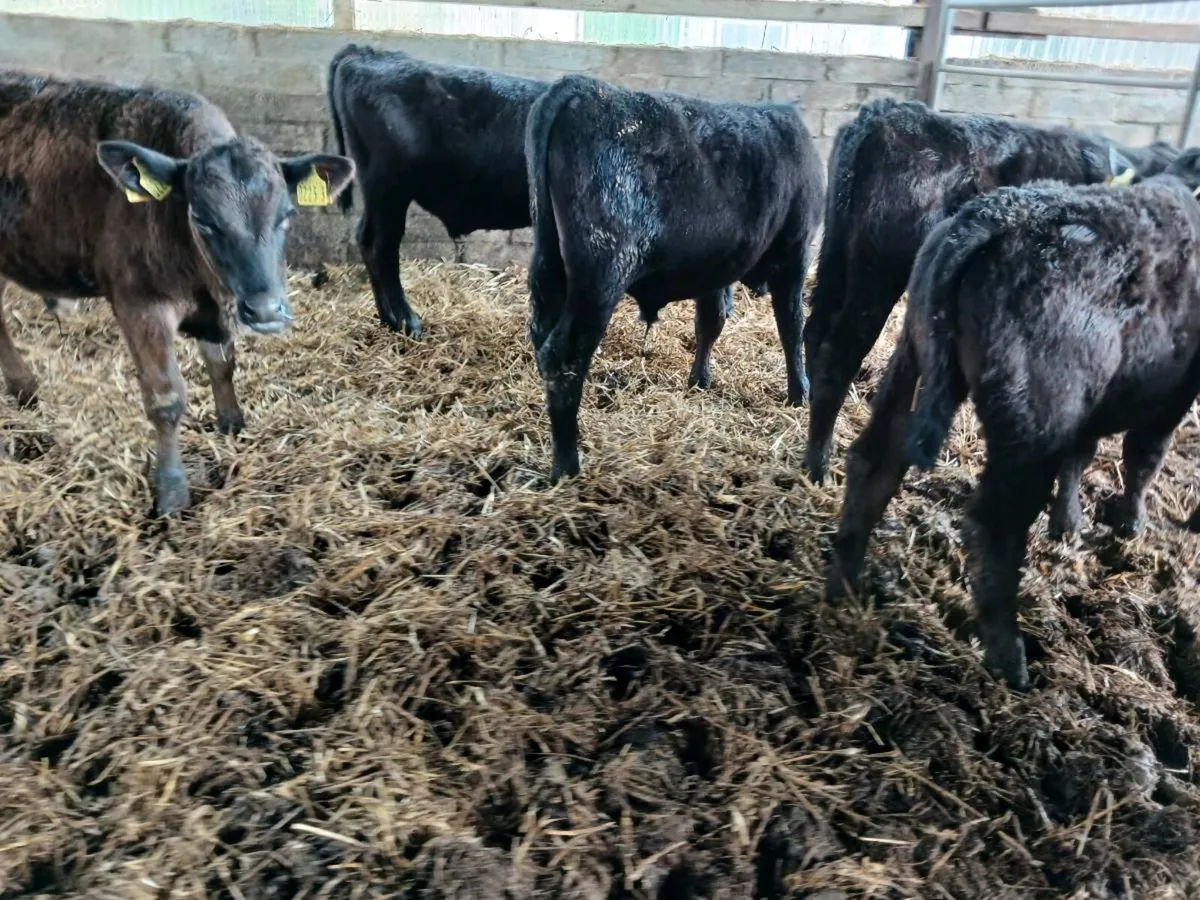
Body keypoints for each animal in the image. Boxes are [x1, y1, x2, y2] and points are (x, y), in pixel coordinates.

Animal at [0, 70, 354, 515]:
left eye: (287, 215)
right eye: (202, 219)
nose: (265, 310)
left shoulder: (215, 310)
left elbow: (223, 365)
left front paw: (231, 423)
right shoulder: (140, 304)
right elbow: (165, 397)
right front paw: (171, 491)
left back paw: (24, 390)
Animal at [525, 74, 824, 482]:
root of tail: (579, 87)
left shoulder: (716, 268)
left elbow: (710, 322)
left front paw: (699, 380)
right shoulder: (794, 253)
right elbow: (791, 327)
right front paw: (799, 392)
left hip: (549, 261)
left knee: (542, 336)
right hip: (601, 272)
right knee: (564, 354)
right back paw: (568, 466)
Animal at [803, 98, 1181, 485]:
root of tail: (886, 113)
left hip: (836, 253)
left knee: (816, 330)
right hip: (878, 270)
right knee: (839, 354)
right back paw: (819, 467)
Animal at [822, 167, 1200, 691]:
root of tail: (998, 214)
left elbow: (1081, 457)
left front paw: (1069, 525)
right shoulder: (1174, 394)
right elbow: (1143, 458)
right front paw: (1130, 525)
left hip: (913, 359)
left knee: (874, 461)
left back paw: (844, 584)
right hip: (1036, 418)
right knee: (995, 525)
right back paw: (1012, 661)